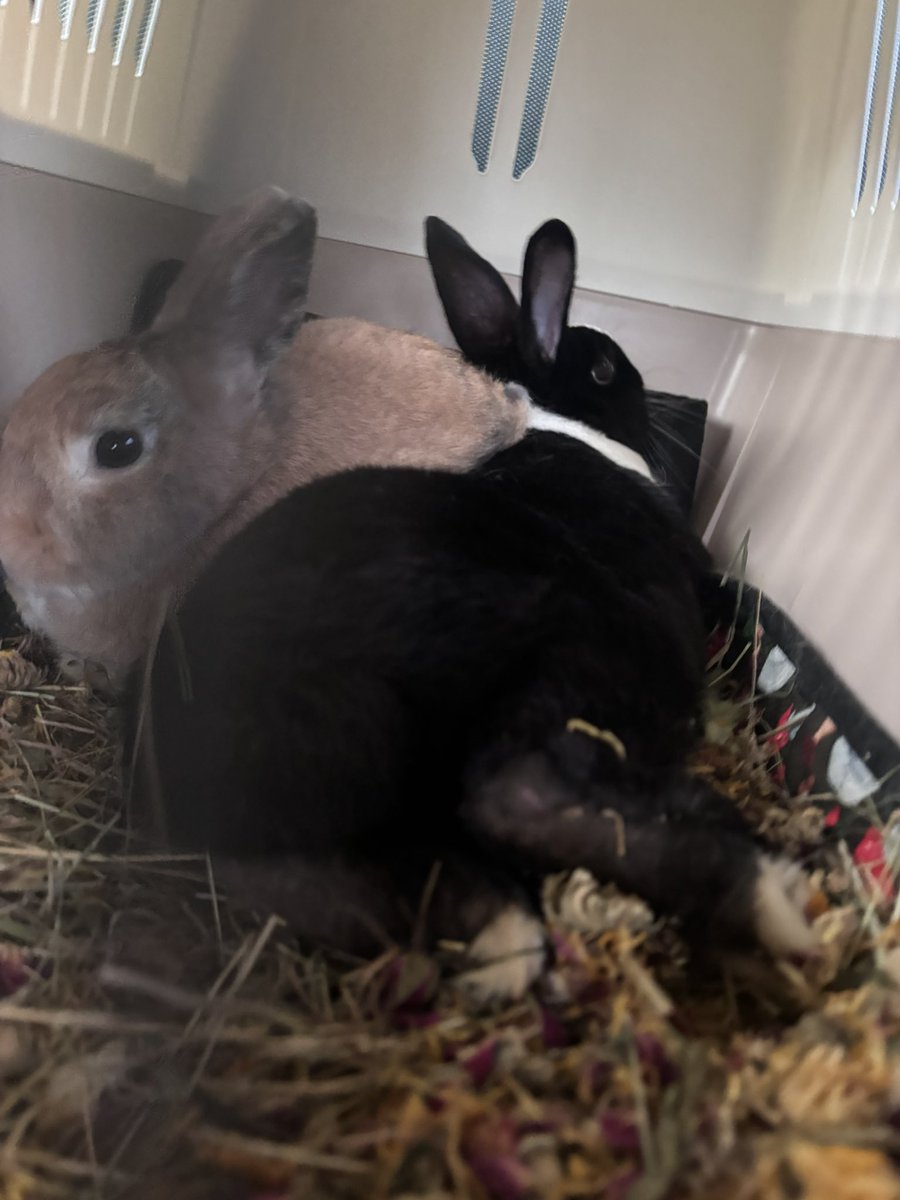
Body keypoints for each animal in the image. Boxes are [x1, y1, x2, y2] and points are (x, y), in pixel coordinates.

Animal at [132, 217, 817, 1005]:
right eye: (605, 369)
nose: (647, 392)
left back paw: (496, 942)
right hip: (574, 652)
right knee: (515, 793)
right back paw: (774, 903)